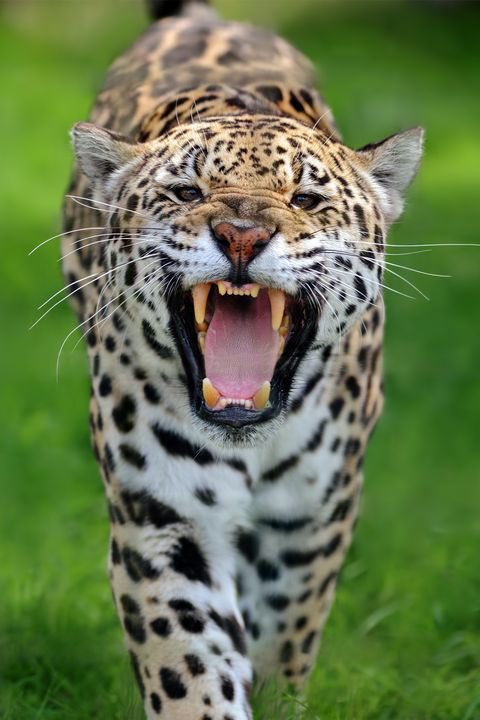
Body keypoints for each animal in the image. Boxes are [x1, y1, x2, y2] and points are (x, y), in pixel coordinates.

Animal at [62, 0, 423, 717]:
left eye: (306, 199)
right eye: (185, 190)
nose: (240, 235)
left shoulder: (310, 521)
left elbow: (283, 640)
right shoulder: (166, 518)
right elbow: (191, 662)